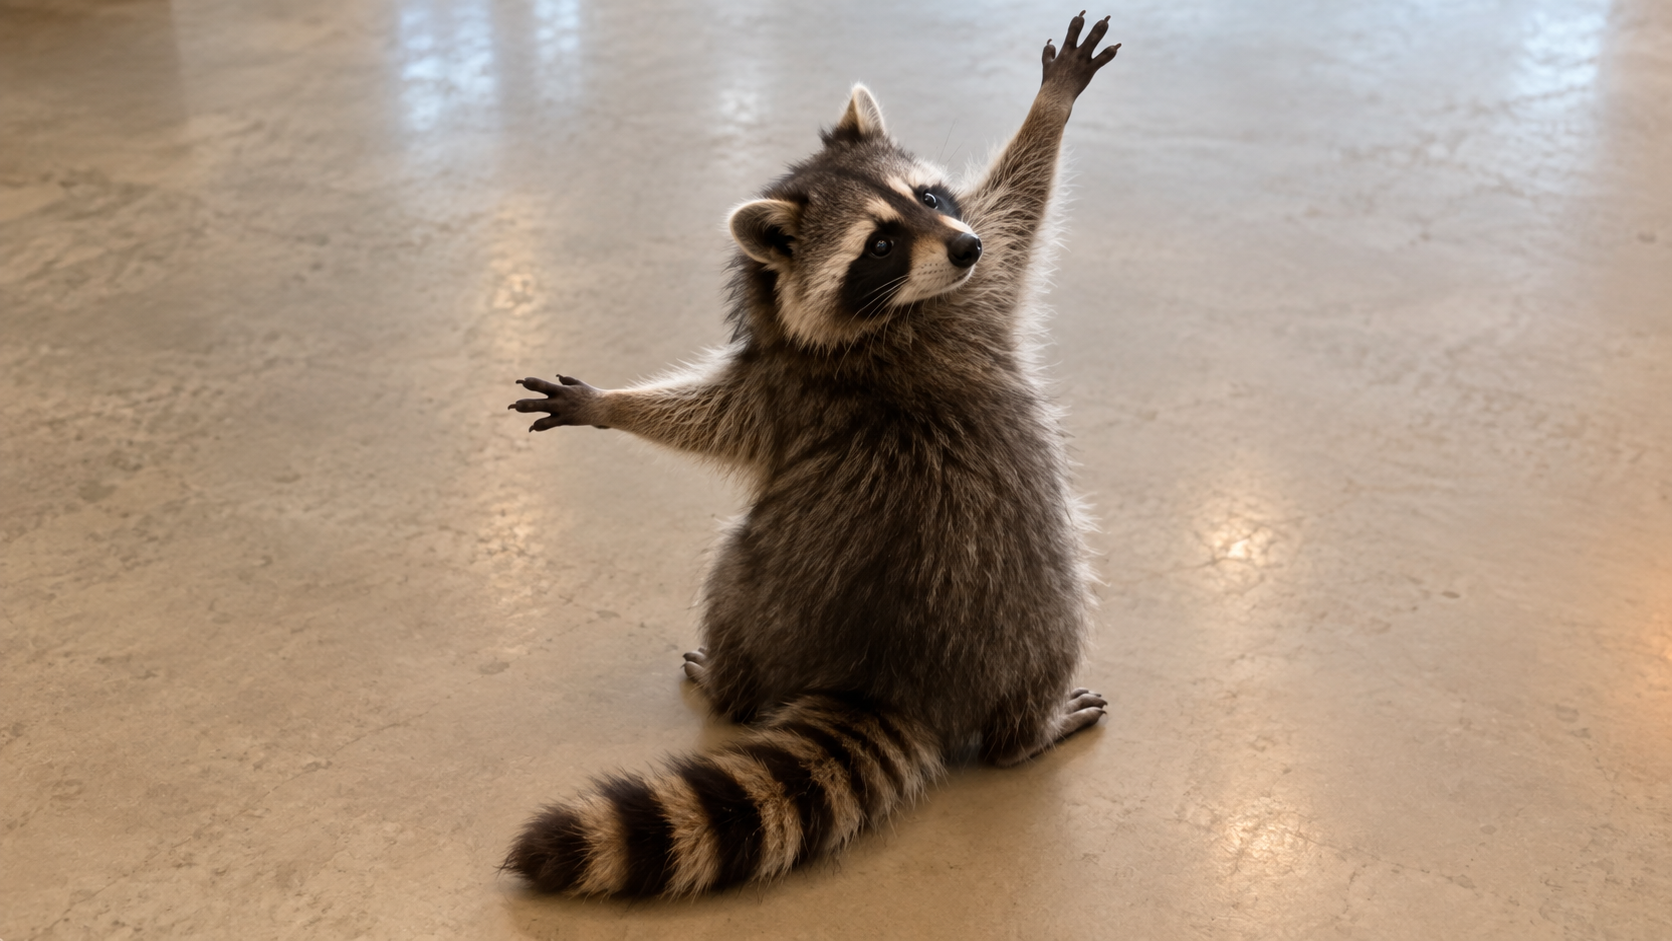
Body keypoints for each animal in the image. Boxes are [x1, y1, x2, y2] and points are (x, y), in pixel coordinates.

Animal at [505, 13, 1120, 898]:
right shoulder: (920, 323)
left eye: (927, 197)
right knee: (730, 576)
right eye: (882, 243)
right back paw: (1016, 729)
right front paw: (1047, 114)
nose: (961, 246)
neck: (880, 318)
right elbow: (1019, 204)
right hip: (993, 609)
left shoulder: (805, 376)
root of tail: (885, 675)